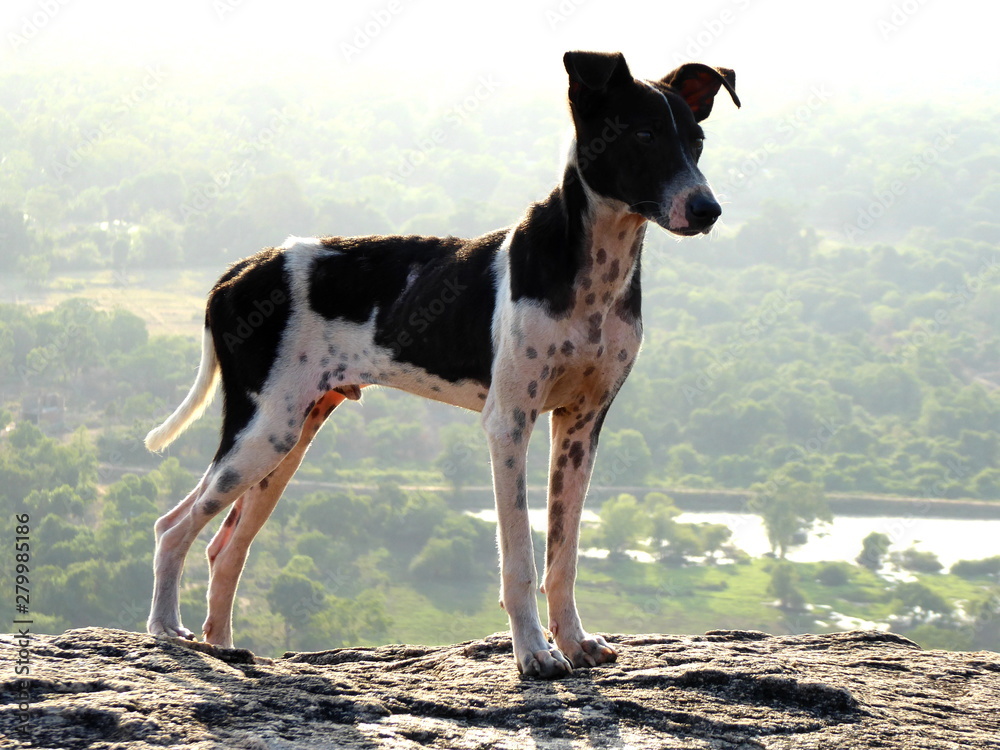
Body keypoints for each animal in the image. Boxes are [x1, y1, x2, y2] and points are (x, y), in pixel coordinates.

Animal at [146, 50, 744, 680]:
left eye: (697, 140)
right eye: (644, 134)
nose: (708, 209)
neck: (594, 273)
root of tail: (235, 274)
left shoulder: (581, 426)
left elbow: (565, 554)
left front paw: (575, 641)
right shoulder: (509, 422)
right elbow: (520, 558)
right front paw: (535, 652)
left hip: (288, 439)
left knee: (225, 548)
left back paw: (221, 646)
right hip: (263, 430)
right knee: (172, 529)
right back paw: (166, 631)